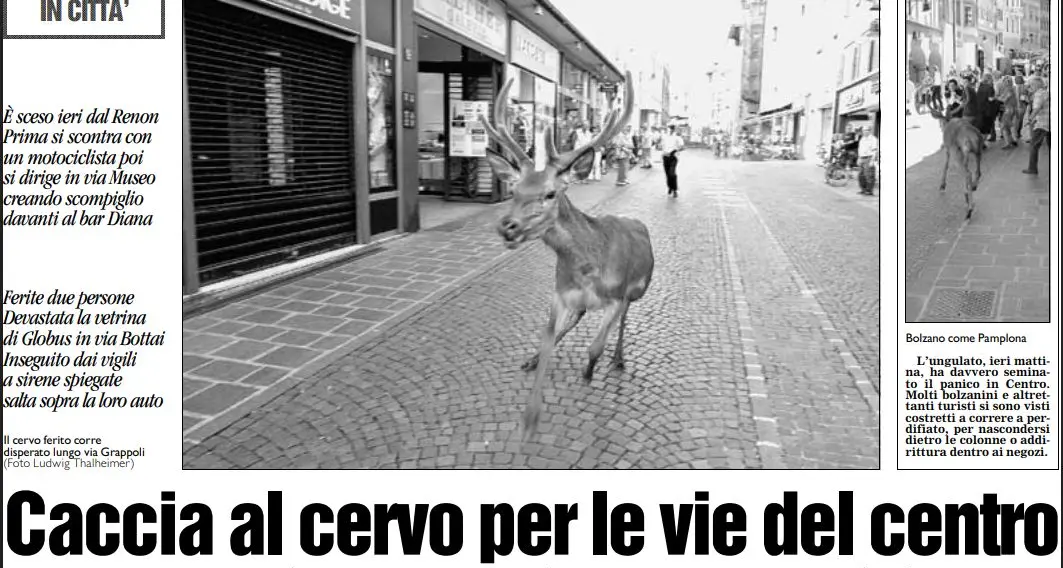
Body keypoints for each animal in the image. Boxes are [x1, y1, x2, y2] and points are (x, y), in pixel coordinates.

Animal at [478, 71, 654, 440]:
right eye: (514, 190)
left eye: (550, 193)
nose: (507, 227)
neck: (587, 267)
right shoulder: (559, 293)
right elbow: (548, 340)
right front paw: (529, 419)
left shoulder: (616, 296)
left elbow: (595, 346)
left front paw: (588, 372)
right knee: (579, 317)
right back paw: (533, 358)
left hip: (638, 290)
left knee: (624, 321)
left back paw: (618, 359)